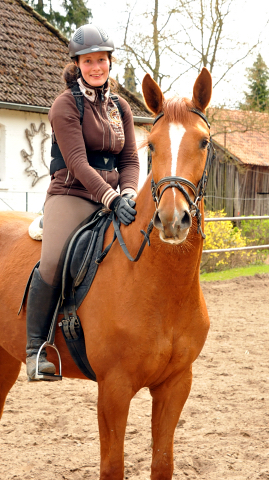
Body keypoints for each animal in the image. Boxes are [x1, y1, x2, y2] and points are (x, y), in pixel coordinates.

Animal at [1, 68, 213, 480]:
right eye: (152, 147)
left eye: (203, 142)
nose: (172, 220)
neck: (159, 286)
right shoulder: (114, 389)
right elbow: (112, 467)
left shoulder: (176, 384)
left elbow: (162, 463)